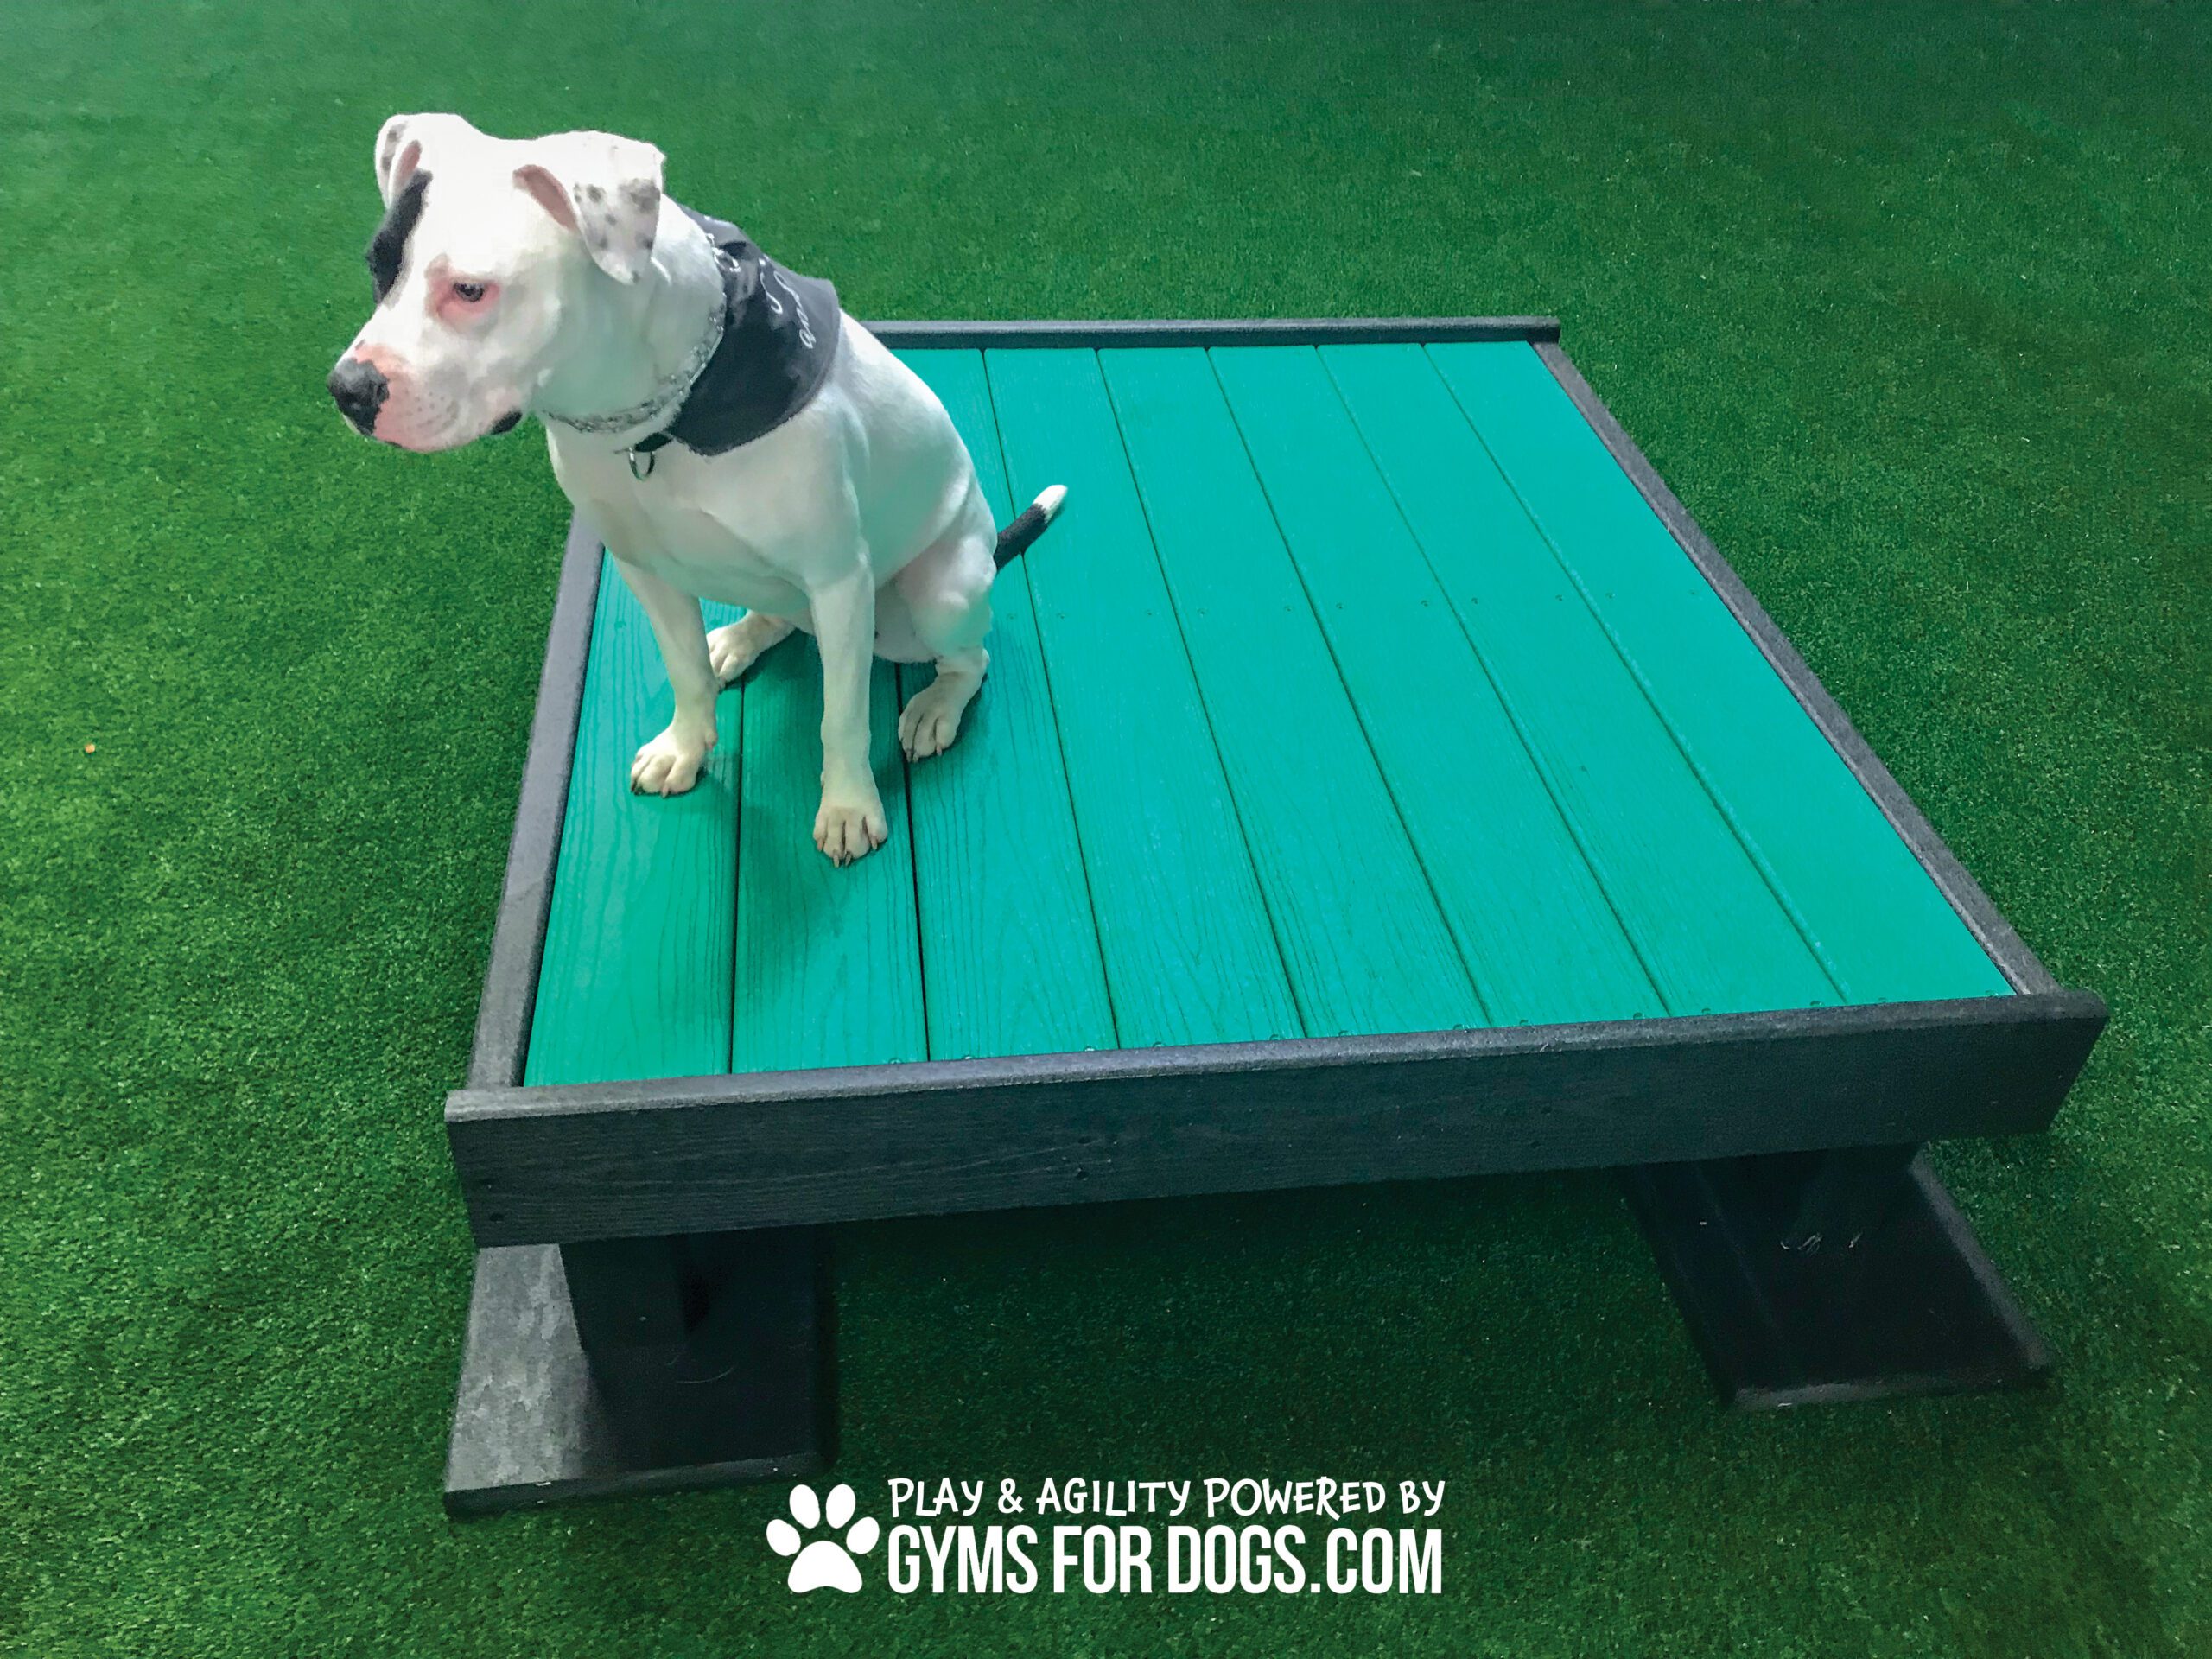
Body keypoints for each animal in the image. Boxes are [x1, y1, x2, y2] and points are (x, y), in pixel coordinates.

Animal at [329, 114, 1062, 864]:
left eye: (471, 291)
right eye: (377, 269)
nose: (348, 390)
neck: (655, 426)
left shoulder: (838, 577)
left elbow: (841, 716)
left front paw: (849, 805)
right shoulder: (642, 567)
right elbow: (683, 670)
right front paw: (684, 747)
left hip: (936, 595)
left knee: (969, 658)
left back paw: (935, 708)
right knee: (777, 616)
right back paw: (740, 638)